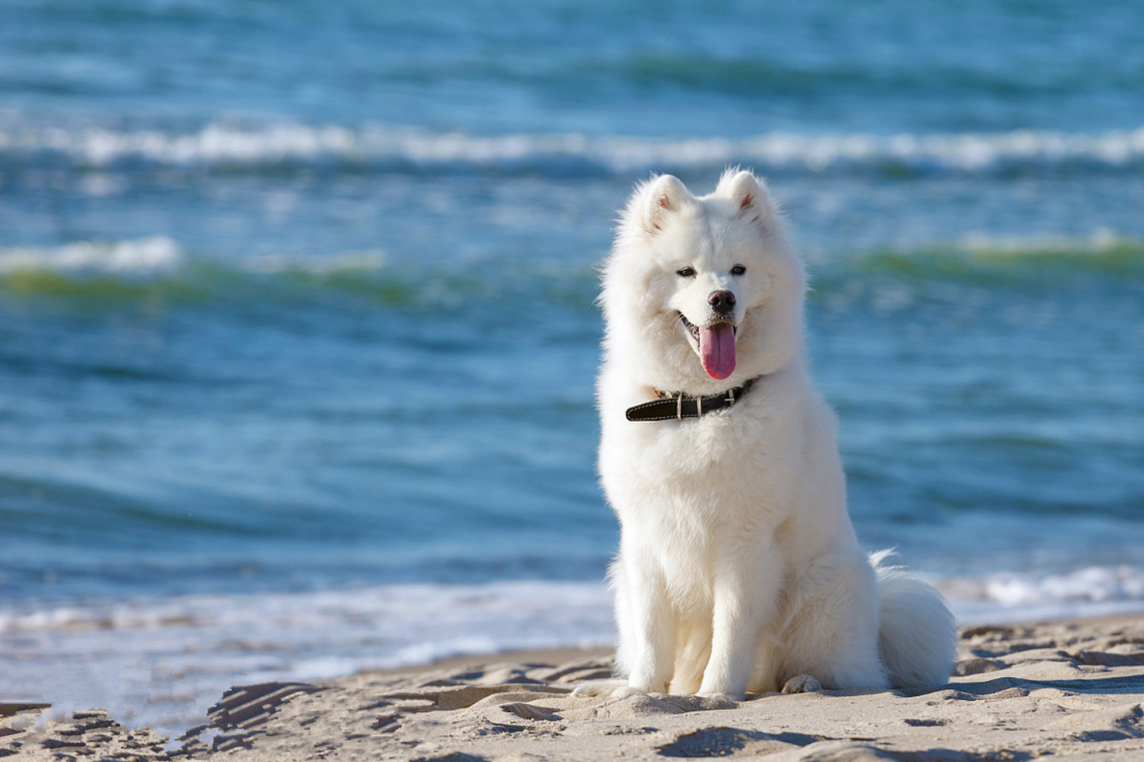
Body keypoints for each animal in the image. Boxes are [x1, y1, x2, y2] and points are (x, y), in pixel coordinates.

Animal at [572, 169, 956, 695]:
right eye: (686, 272)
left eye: (738, 270)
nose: (722, 299)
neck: (700, 407)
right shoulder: (646, 541)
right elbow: (654, 634)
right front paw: (641, 692)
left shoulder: (746, 543)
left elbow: (732, 630)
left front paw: (716, 694)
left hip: (825, 589)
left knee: (853, 674)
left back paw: (805, 683)